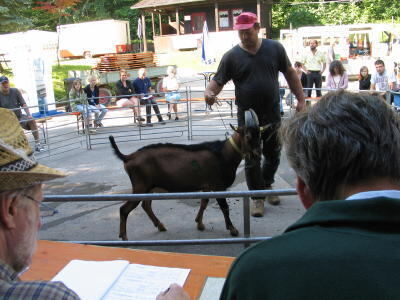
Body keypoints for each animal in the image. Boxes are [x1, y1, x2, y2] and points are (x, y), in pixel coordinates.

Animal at [110, 109, 266, 240]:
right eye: (247, 136)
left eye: (260, 135)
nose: (257, 154)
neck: (223, 154)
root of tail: (128, 157)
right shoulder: (218, 186)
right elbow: (224, 207)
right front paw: (233, 229)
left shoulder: (206, 186)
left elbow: (204, 203)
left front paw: (199, 224)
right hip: (140, 186)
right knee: (124, 209)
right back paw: (124, 237)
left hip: (149, 187)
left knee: (146, 205)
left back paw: (160, 226)